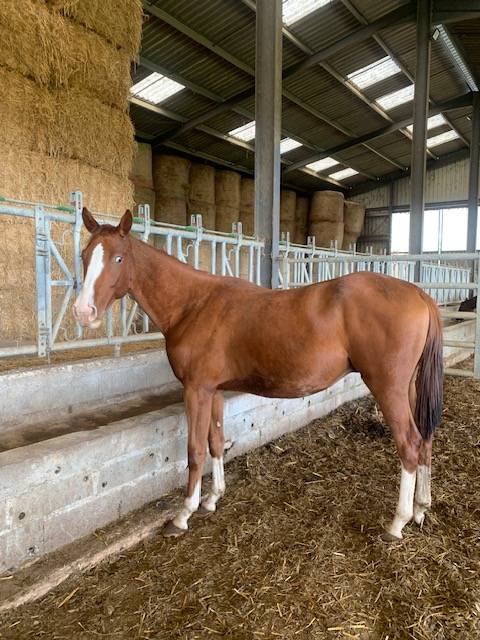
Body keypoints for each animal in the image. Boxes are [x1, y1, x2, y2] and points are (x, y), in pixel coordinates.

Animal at [73, 208, 443, 542]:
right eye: (85, 255)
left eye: (118, 258)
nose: (82, 312)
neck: (194, 304)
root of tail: (419, 294)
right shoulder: (214, 391)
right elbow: (216, 442)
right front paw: (212, 499)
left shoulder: (195, 390)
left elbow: (194, 450)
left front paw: (183, 514)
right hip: (409, 388)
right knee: (424, 438)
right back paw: (421, 509)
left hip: (388, 388)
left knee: (409, 444)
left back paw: (397, 522)